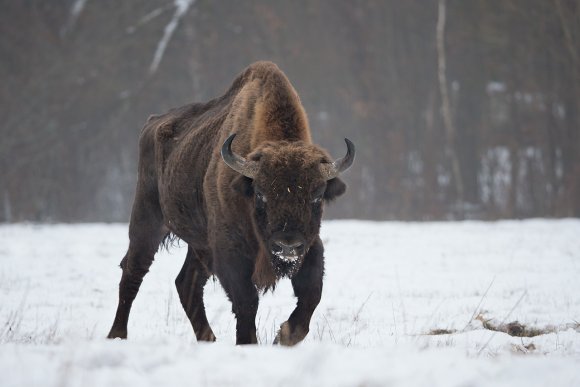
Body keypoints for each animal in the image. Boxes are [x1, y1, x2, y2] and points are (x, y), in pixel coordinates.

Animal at [106, 60, 356, 346]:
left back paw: (208, 339)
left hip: (200, 244)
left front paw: (282, 337)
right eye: (260, 193)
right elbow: (246, 301)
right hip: (147, 221)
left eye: (317, 195)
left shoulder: (311, 246)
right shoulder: (229, 250)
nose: (287, 245)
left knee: (186, 283)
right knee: (133, 271)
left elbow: (311, 295)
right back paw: (117, 335)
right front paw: (249, 343)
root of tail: (152, 123)